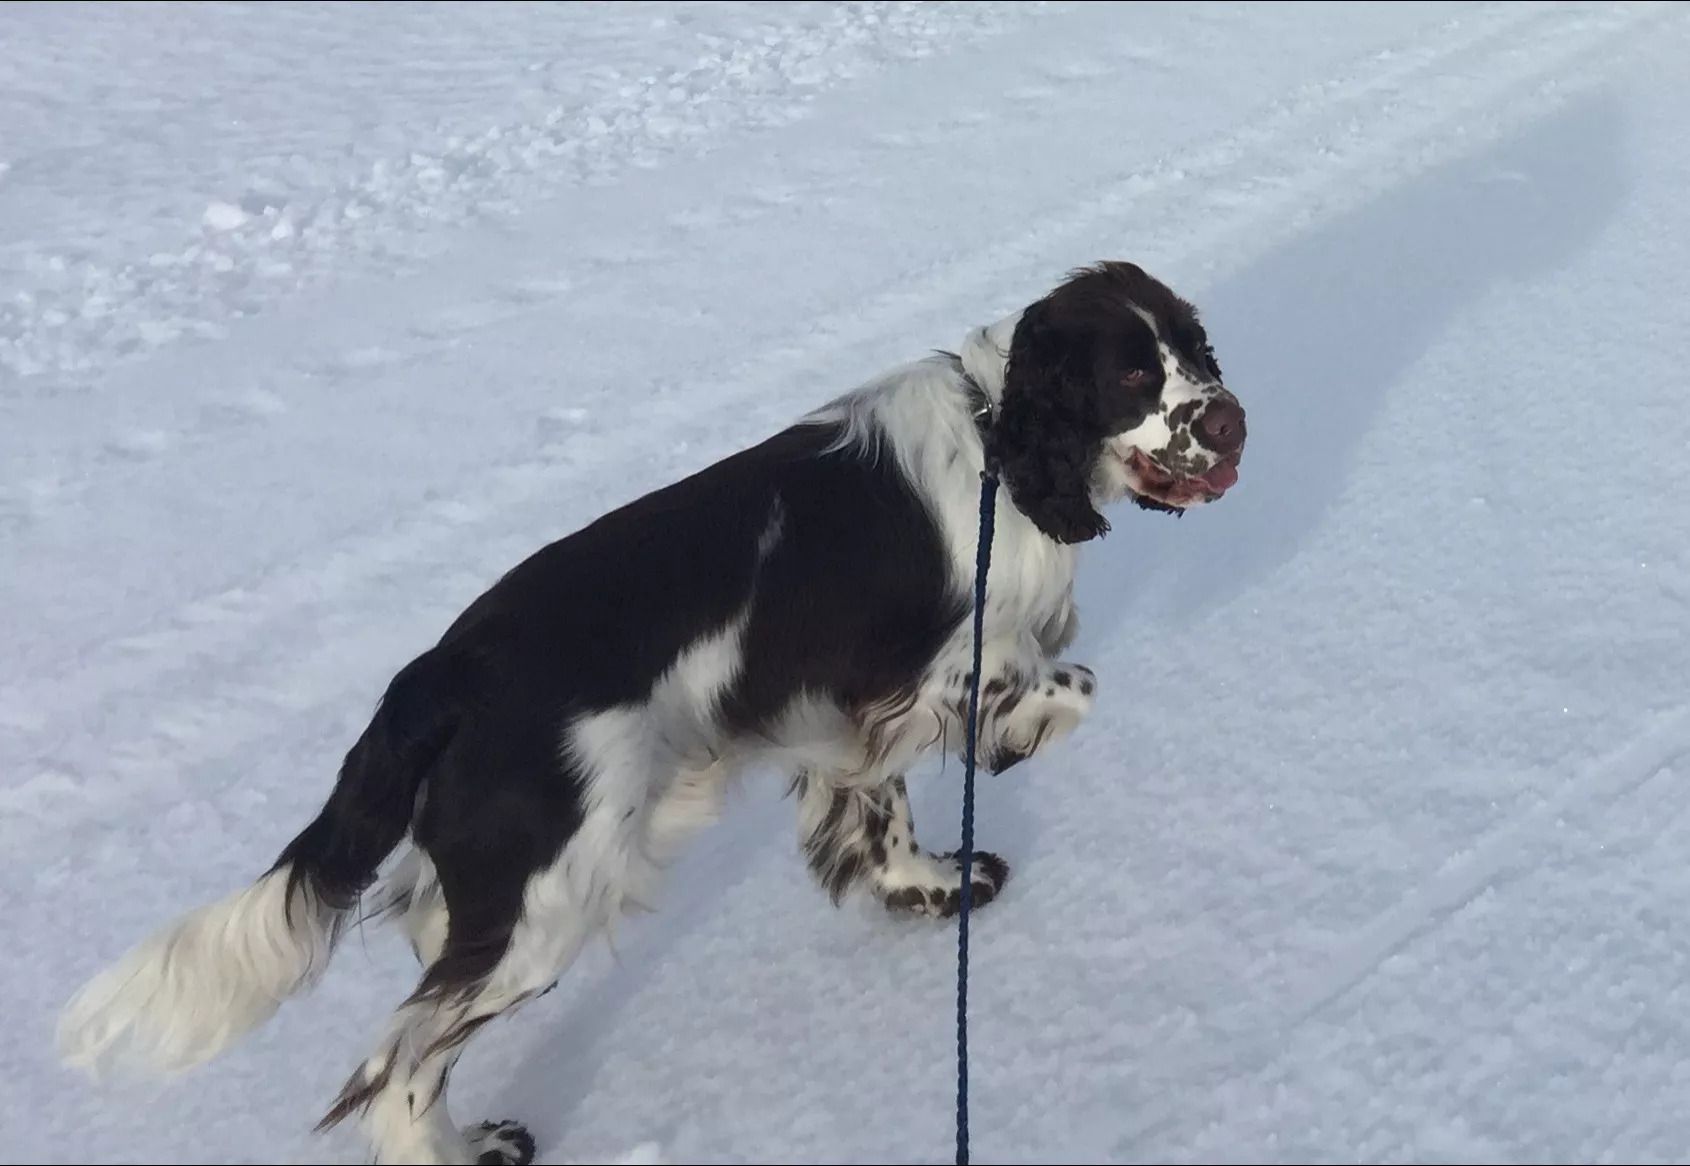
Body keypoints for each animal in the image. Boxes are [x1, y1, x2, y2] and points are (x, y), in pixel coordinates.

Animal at [58, 261, 1246, 1164]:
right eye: (1132, 371)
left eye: (1197, 347)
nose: (1230, 420)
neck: (1003, 437)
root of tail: (439, 673)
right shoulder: (946, 665)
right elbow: (1064, 688)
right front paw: (1015, 748)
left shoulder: (841, 704)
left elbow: (876, 802)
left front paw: (928, 884)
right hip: (551, 901)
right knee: (395, 1063)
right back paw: (457, 1150)